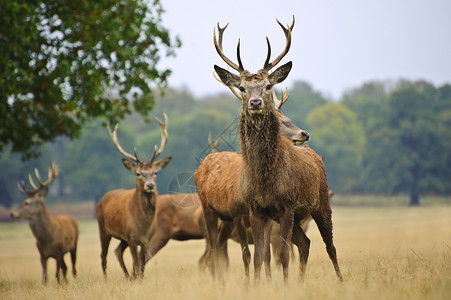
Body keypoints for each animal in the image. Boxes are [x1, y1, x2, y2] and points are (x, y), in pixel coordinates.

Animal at [96, 114, 172, 278]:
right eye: (138, 173)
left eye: (155, 172)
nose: (150, 185)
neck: (143, 225)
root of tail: (102, 198)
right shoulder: (131, 237)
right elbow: (136, 264)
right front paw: (136, 279)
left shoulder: (146, 240)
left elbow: (141, 265)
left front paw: (139, 279)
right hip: (103, 229)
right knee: (103, 256)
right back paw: (106, 279)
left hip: (122, 237)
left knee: (117, 250)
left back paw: (127, 277)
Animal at [214, 17, 344, 284]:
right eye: (242, 88)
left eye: (267, 85)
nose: (255, 103)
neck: (265, 179)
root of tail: (316, 156)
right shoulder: (257, 209)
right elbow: (259, 257)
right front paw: (257, 286)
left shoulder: (287, 204)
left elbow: (283, 254)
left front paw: (283, 286)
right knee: (305, 242)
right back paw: (301, 282)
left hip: (321, 203)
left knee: (330, 246)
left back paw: (340, 280)